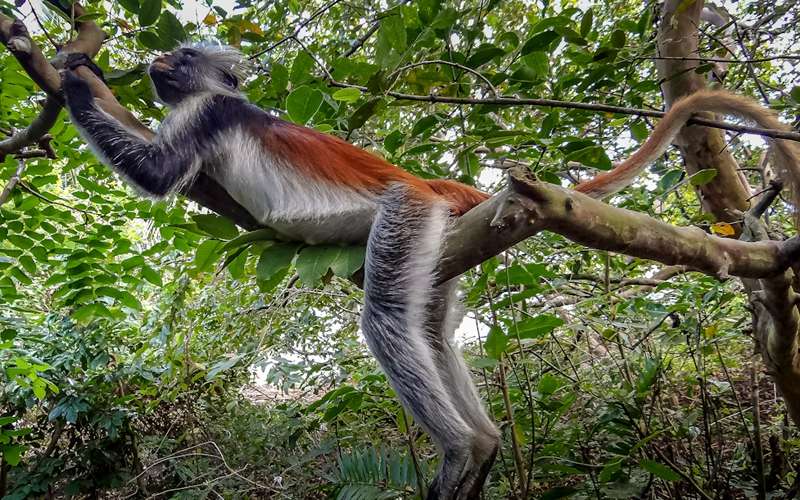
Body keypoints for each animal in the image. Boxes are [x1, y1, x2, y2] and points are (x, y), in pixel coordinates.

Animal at [61, 44, 800, 500]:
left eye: (182, 60)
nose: (158, 62)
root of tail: (428, 181)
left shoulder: (206, 112)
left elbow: (158, 173)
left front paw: (76, 78)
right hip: (440, 243)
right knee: (433, 332)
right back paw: (487, 444)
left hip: (408, 212)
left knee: (388, 319)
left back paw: (462, 448)